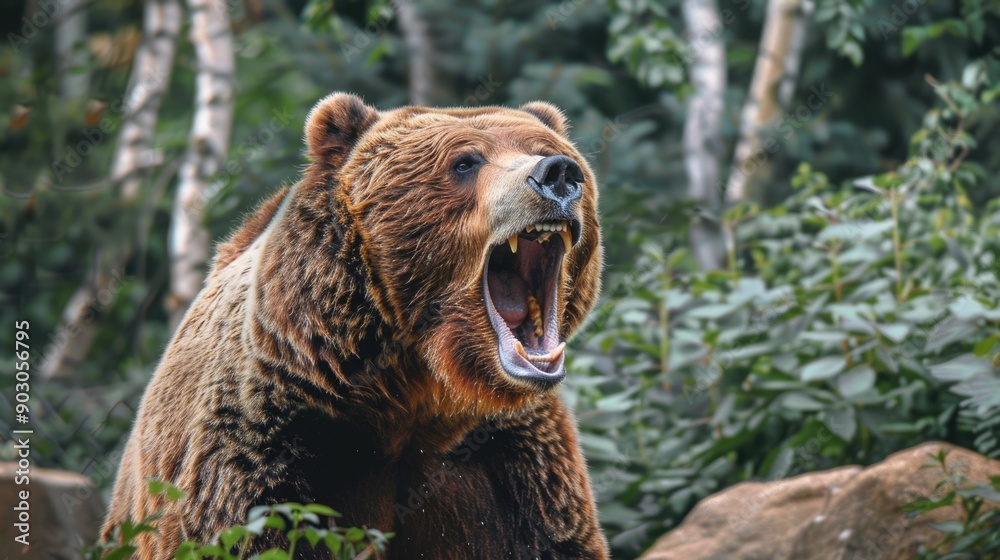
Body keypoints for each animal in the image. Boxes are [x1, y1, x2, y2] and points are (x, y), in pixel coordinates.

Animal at [102, 92, 608, 559]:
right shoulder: (266, 441)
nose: (559, 173)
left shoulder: (514, 460)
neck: (413, 392)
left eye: (544, 148)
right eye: (465, 162)